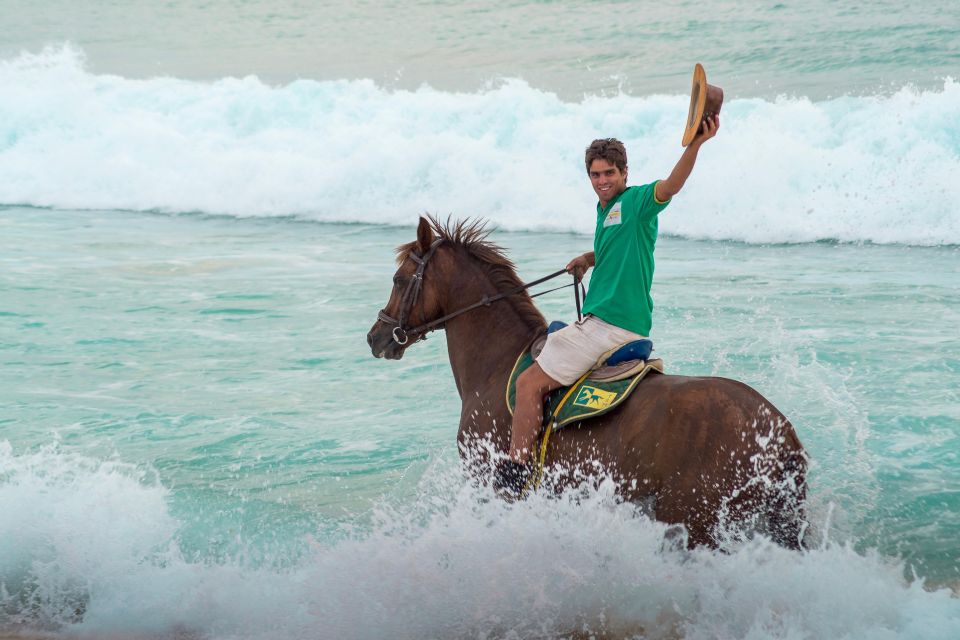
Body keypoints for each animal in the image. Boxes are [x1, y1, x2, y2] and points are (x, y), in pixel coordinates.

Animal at [364, 218, 808, 548]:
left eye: (399, 279)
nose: (376, 336)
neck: (498, 364)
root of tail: (782, 430)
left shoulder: (492, 484)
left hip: (694, 521)